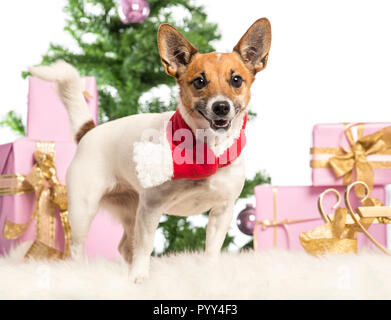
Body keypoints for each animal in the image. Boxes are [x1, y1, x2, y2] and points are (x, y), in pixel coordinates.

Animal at [29, 17, 272, 282]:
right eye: (199, 81)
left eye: (236, 80)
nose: (221, 107)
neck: (207, 151)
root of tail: (89, 131)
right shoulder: (151, 208)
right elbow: (145, 246)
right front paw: (139, 278)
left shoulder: (222, 211)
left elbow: (211, 250)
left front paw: (208, 274)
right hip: (84, 210)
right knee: (77, 247)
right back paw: (82, 272)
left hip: (130, 210)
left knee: (125, 247)